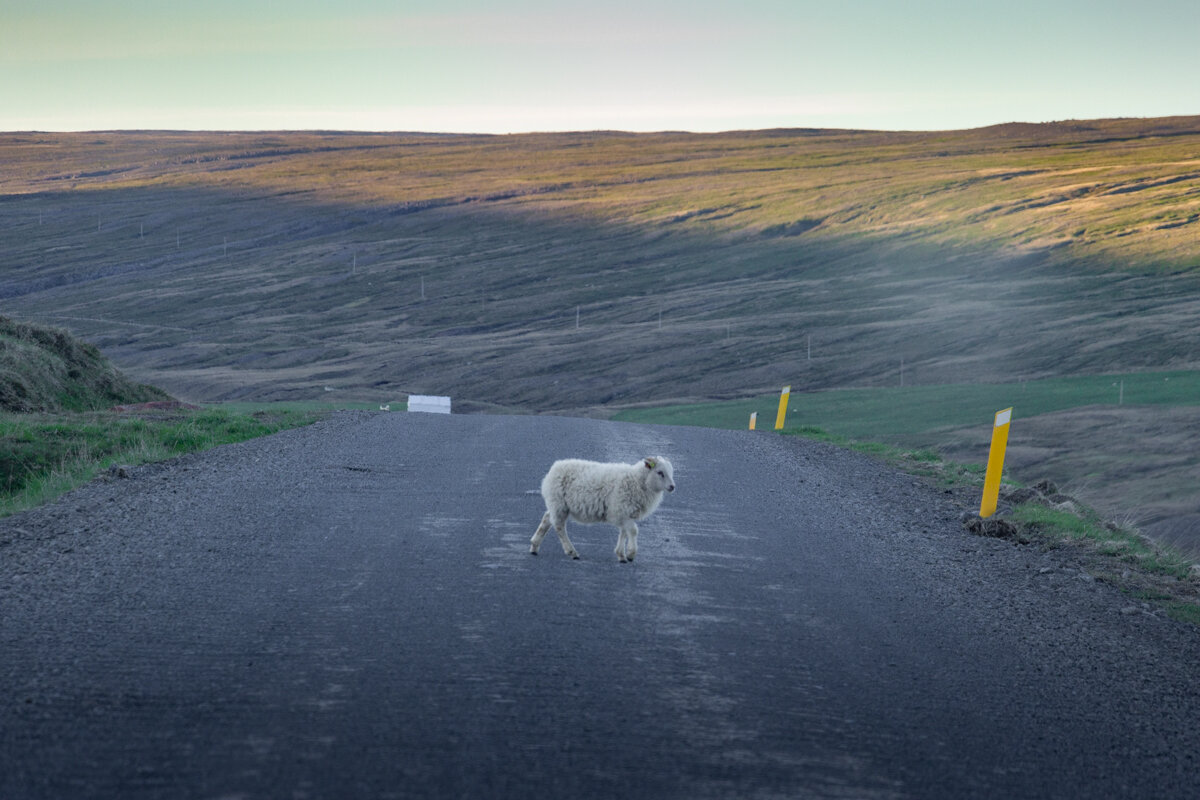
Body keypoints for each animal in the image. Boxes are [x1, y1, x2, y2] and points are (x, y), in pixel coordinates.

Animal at [532, 455, 676, 563]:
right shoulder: (620, 510)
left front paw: (621, 555)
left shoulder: (624, 513)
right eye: (660, 472)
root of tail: (554, 468)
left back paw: (534, 545)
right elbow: (633, 531)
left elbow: (624, 532)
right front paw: (630, 554)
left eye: (671, 472)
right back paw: (571, 551)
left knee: (547, 519)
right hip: (559, 504)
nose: (672, 487)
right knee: (559, 526)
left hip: (557, 505)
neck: (637, 480)